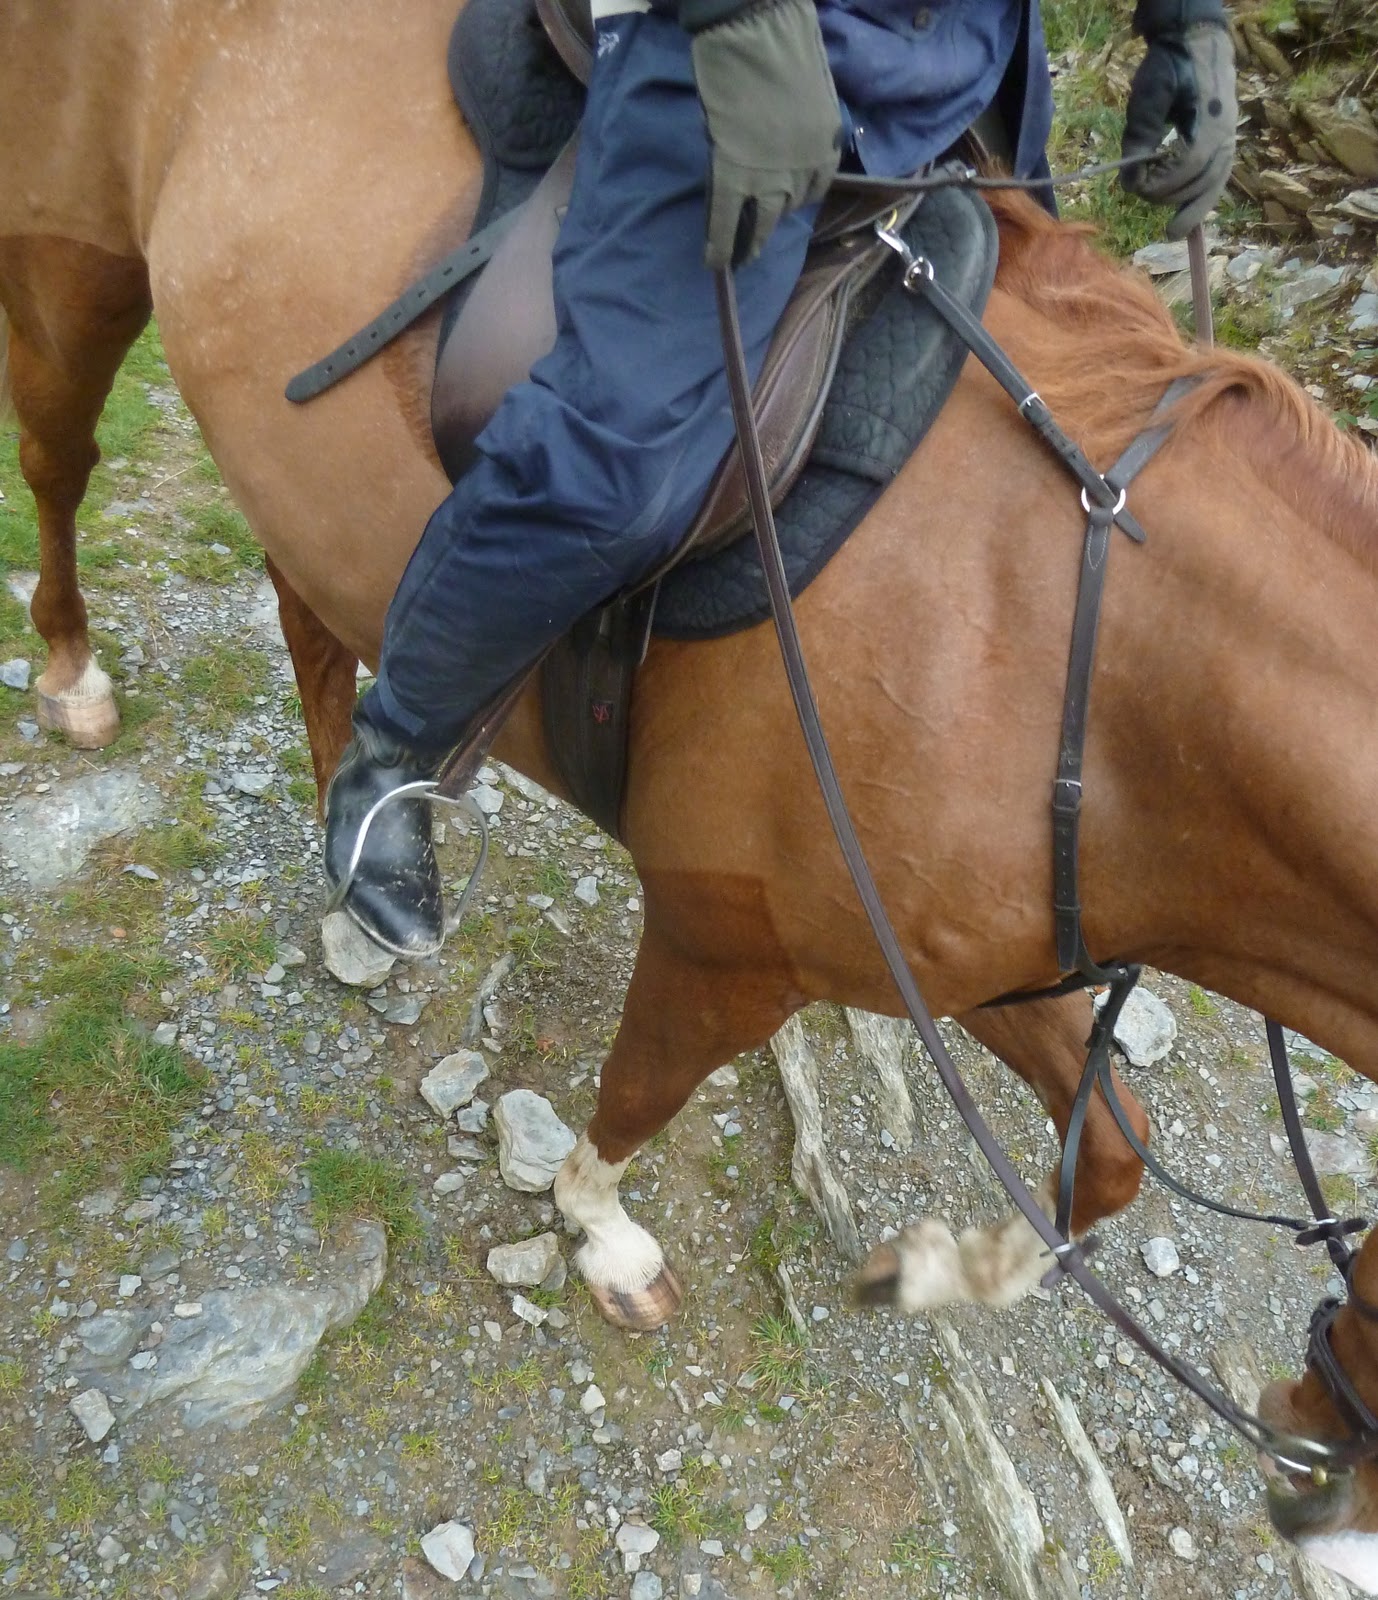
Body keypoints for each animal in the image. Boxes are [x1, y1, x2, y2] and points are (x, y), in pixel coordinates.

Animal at [6, 0, 1378, 1580]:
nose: (1321, 1510)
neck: (1074, 651)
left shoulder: (953, 958)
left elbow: (1107, 1161)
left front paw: (977, 1267)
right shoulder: (732, 940)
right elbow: (636, 1094)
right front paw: (601, 1238)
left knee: (314, 610)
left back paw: (368, 868)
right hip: (70, 263)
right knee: (58, 457)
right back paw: (74, 673)